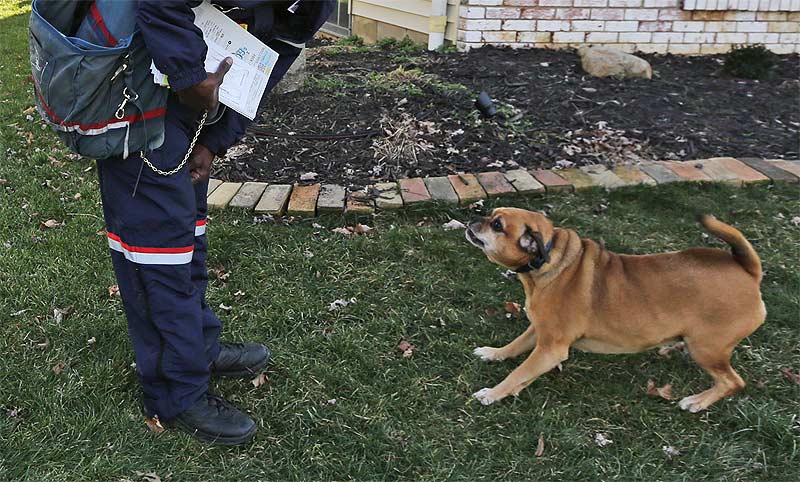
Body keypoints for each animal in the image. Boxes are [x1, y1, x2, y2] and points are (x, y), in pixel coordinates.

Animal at [466, 207, 764, 410]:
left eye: (497, 224)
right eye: (493, 214)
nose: (472, 218)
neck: (547, 262)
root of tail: (749, 271)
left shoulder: (551, 349)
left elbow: (518, 373)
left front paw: (492, 393)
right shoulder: (539, 329)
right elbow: (514, 346)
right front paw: (494, 353)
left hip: (708, 349)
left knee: (732, 382)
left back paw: (698, 402)